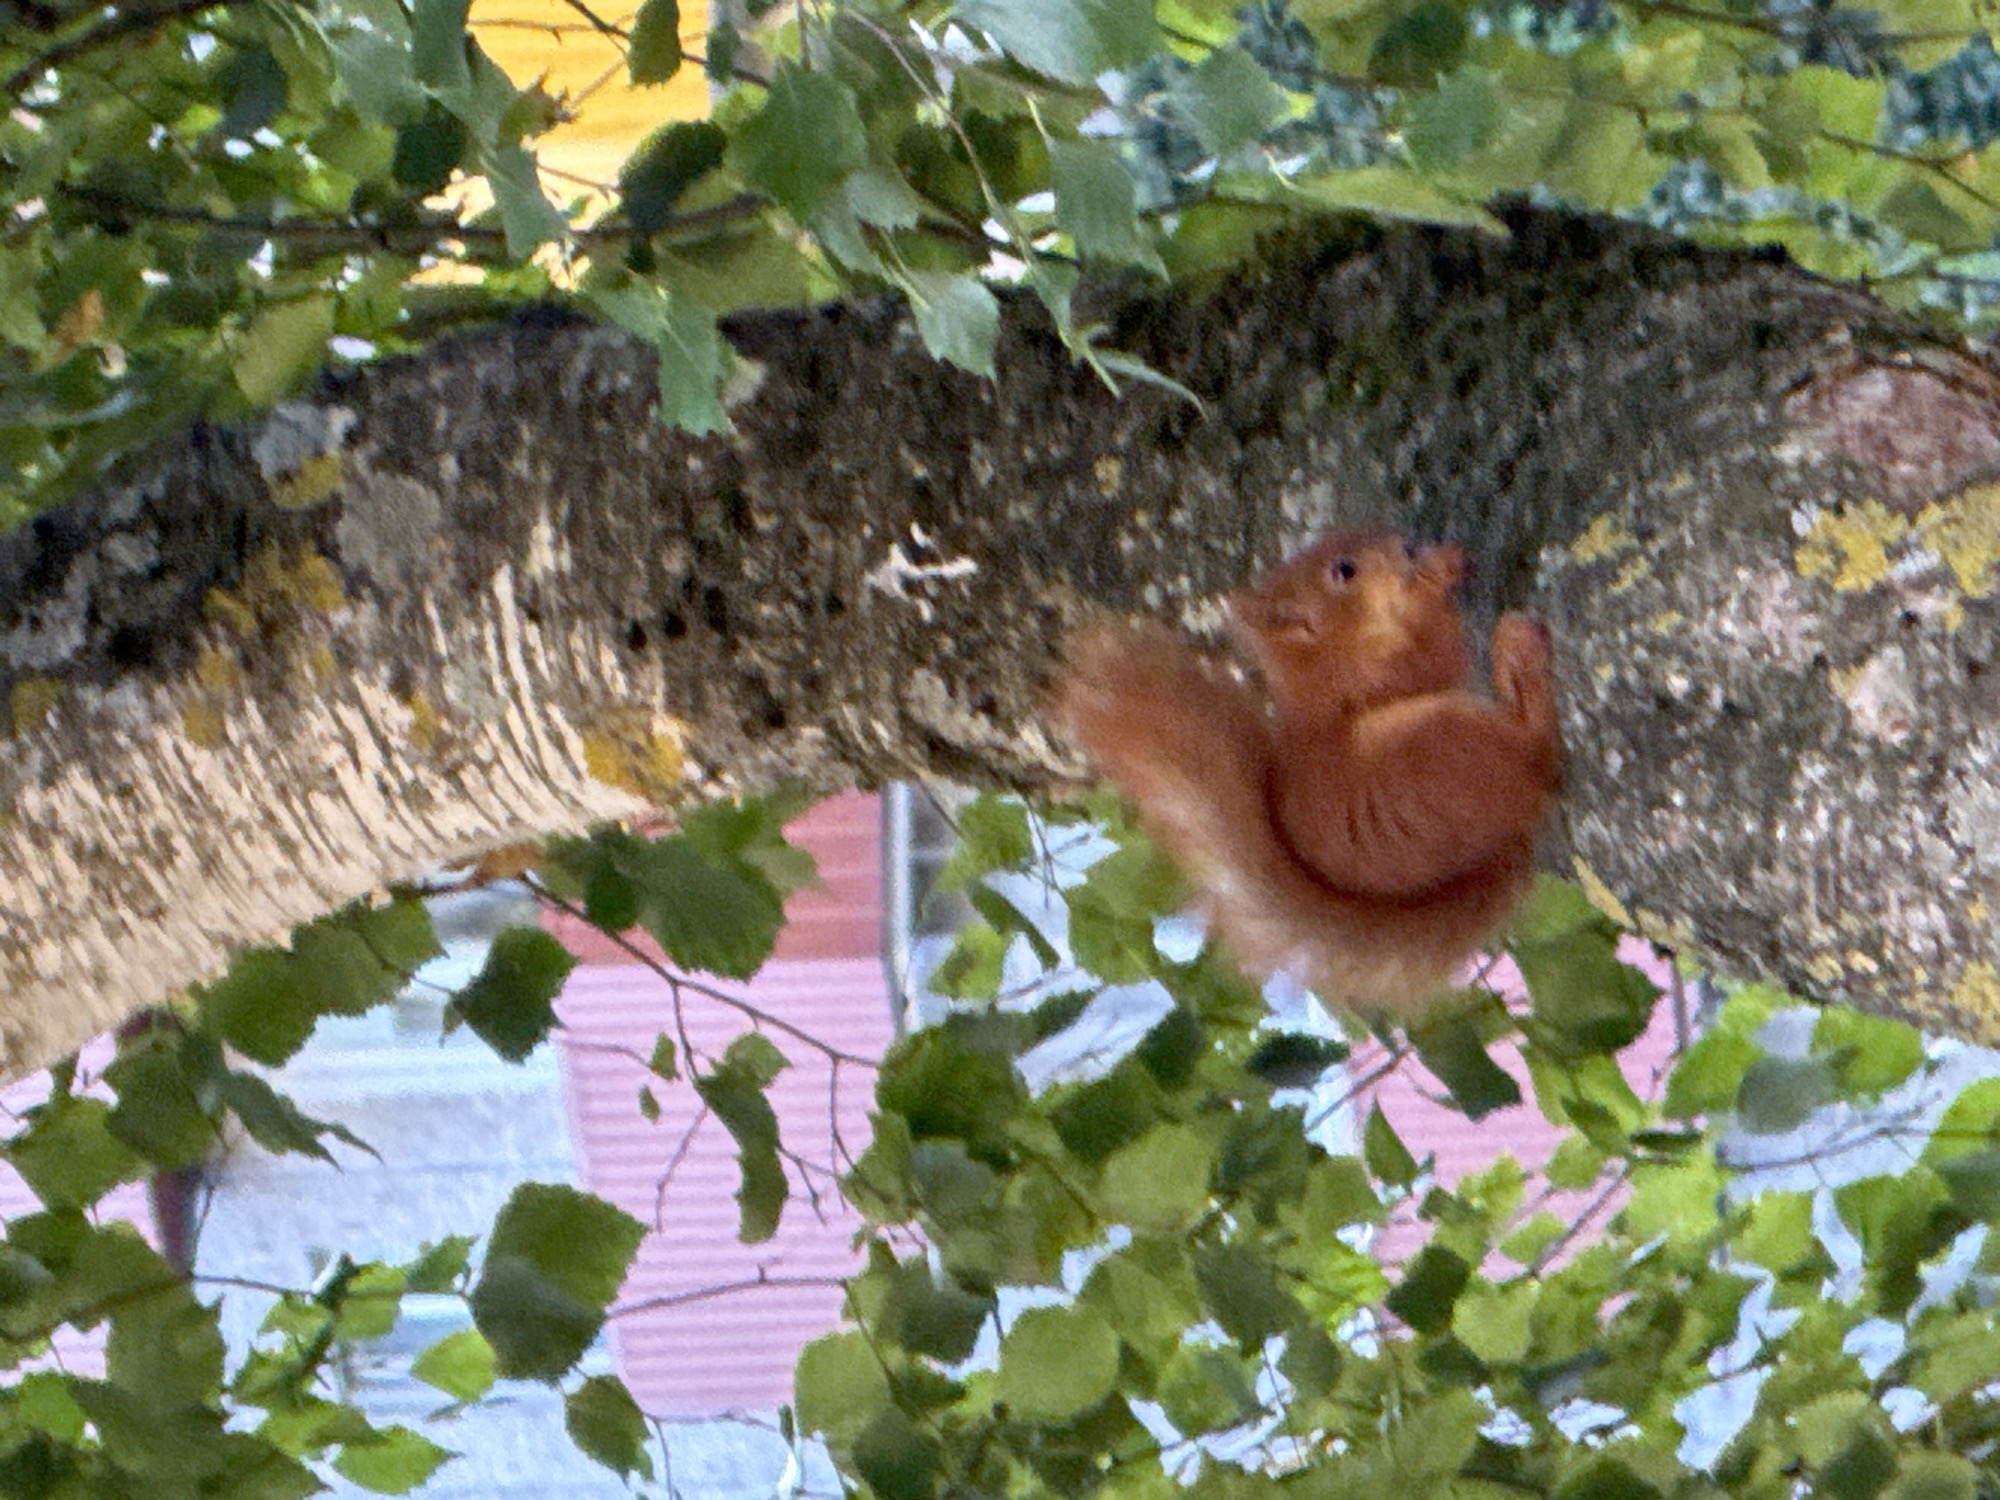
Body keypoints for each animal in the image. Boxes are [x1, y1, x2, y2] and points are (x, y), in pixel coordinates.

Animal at [1053, 531, 1562, 1014]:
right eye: (1344, 570)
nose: (1408, 546)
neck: (1318, 661)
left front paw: (1442, 562)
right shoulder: (1371, 681)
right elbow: (1428, 657)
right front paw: (1435, 578)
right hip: (1444, 743)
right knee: (1538, 754)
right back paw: (1520, 656)